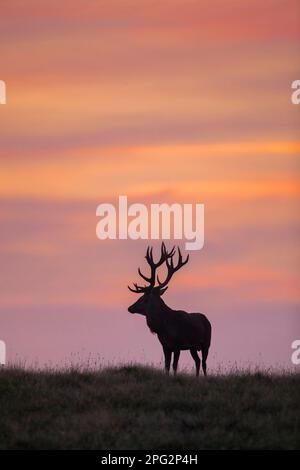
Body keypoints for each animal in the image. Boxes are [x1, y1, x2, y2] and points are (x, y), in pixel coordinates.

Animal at [128, 244, 211, 376]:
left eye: (143, 298)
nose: (130, 308)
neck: (163, 328)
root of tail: (207, 320)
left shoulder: (177, 345)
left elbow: (174, 365)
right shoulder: (165, 346)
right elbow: (166, 365)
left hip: (206, 343)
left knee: (204, 363)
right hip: (193, 347)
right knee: (197, 361)